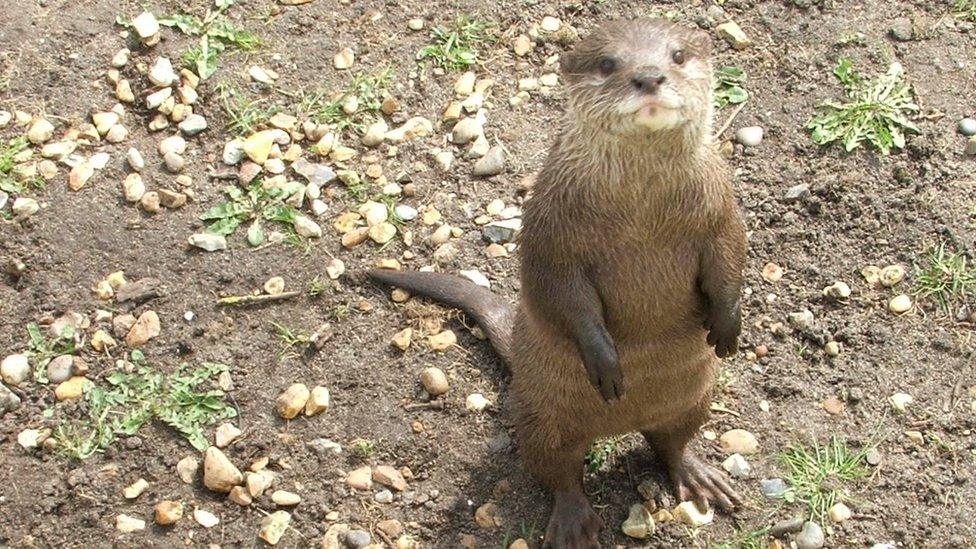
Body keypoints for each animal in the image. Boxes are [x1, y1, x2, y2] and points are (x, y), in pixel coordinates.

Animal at [370, 18, 744, 548]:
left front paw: (728, 325)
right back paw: (572, 524)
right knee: (559, 471)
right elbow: (557, 290)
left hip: (696, 397)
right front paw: (604, 359)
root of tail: (624, 424)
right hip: (539, 416)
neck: (643, 212)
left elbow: (732, 256)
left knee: (670, 441)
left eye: (677, 55)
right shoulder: (551, 227)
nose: (648, 77)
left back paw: (698, 476)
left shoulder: (721, 208)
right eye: (608, 63)